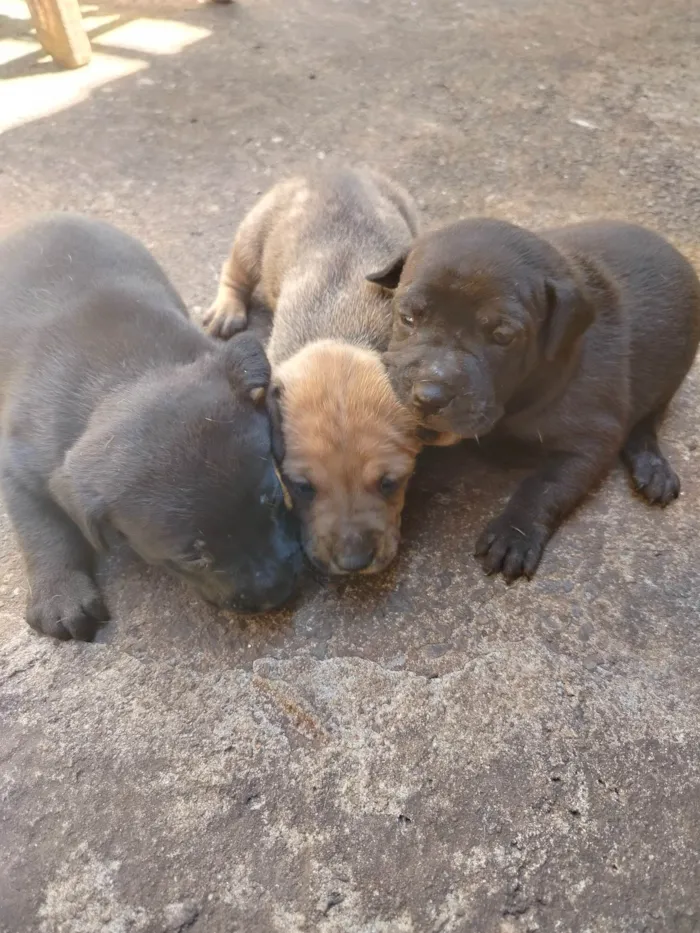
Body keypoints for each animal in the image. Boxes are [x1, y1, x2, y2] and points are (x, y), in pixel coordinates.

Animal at [0, 214, 300, 636]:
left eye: (272, 501)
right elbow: (42, 530)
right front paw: (59, 595)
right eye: (190, 555)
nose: (275, 593)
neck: (126, 375)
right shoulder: (19, 467)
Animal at [202, 167, 422, 576]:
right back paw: (226, 309)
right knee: (234, 270)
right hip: (253, 234)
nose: (353, 563)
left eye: (390, 483)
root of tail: (336, 169)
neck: (337, 333)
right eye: (302, 487)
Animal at [374, 221, 700, 580]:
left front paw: (514, 532)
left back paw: (653, 468)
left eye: (502, 336)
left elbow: (545, 484)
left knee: (648, 418)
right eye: (407, 317)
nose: (429, 397)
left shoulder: (591, 440)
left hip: (671, 376)